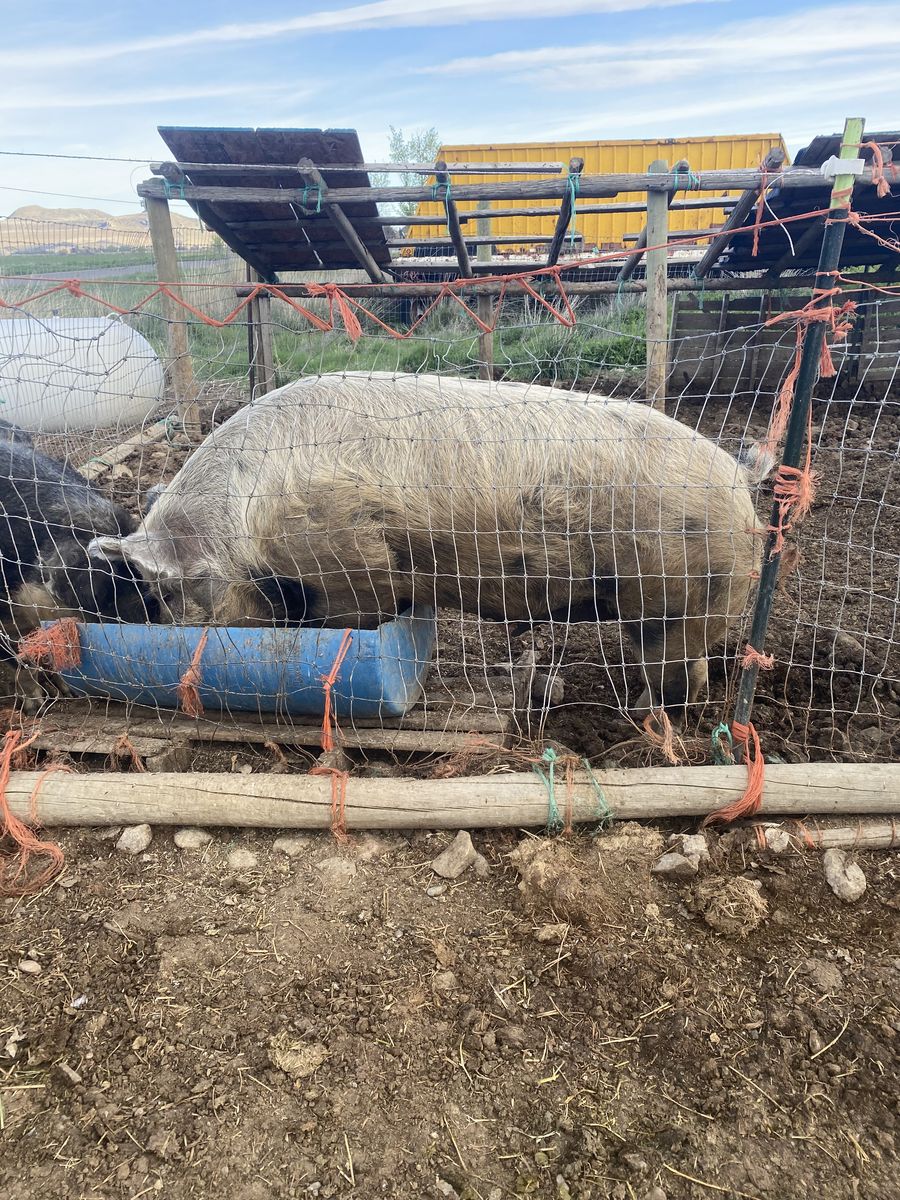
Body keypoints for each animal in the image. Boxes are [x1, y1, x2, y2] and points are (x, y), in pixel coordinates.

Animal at [89, 372, 765, 713]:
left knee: (683, 675)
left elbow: (353, 620)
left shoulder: (353, 562)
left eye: (167, 596)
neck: (242, 526)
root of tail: (742, 484)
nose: (151, 632)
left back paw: (644, 720)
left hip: (677, 601)